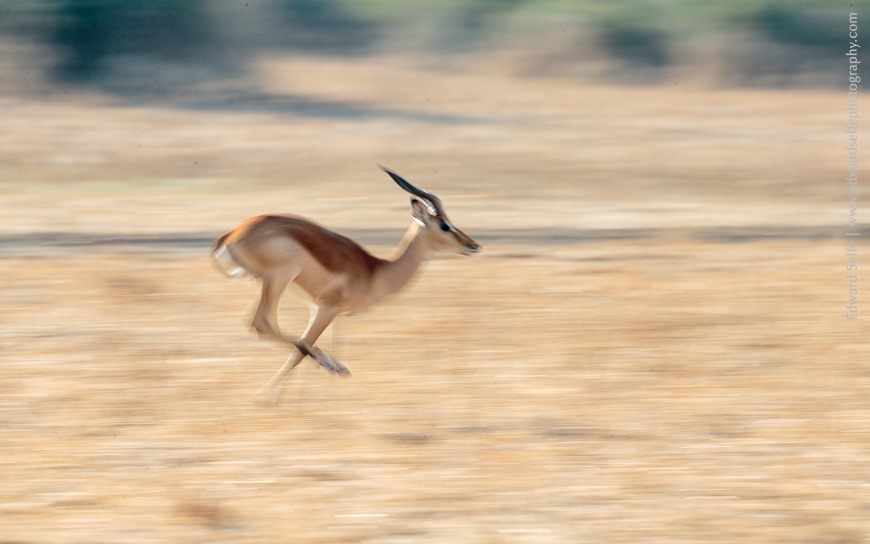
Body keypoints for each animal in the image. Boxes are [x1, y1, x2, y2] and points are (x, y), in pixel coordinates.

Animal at [211, 165, 480, 399]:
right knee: (262, 322)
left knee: (265, 325)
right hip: (279, 278)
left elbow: (309, 348)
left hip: (267, 285)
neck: (375, 271)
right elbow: (302, 348)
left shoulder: (318, 310)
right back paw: (319, 370)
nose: (474, 245)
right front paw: (271, 398)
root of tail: (232, 235)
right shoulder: (328, 308)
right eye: (444, 225)